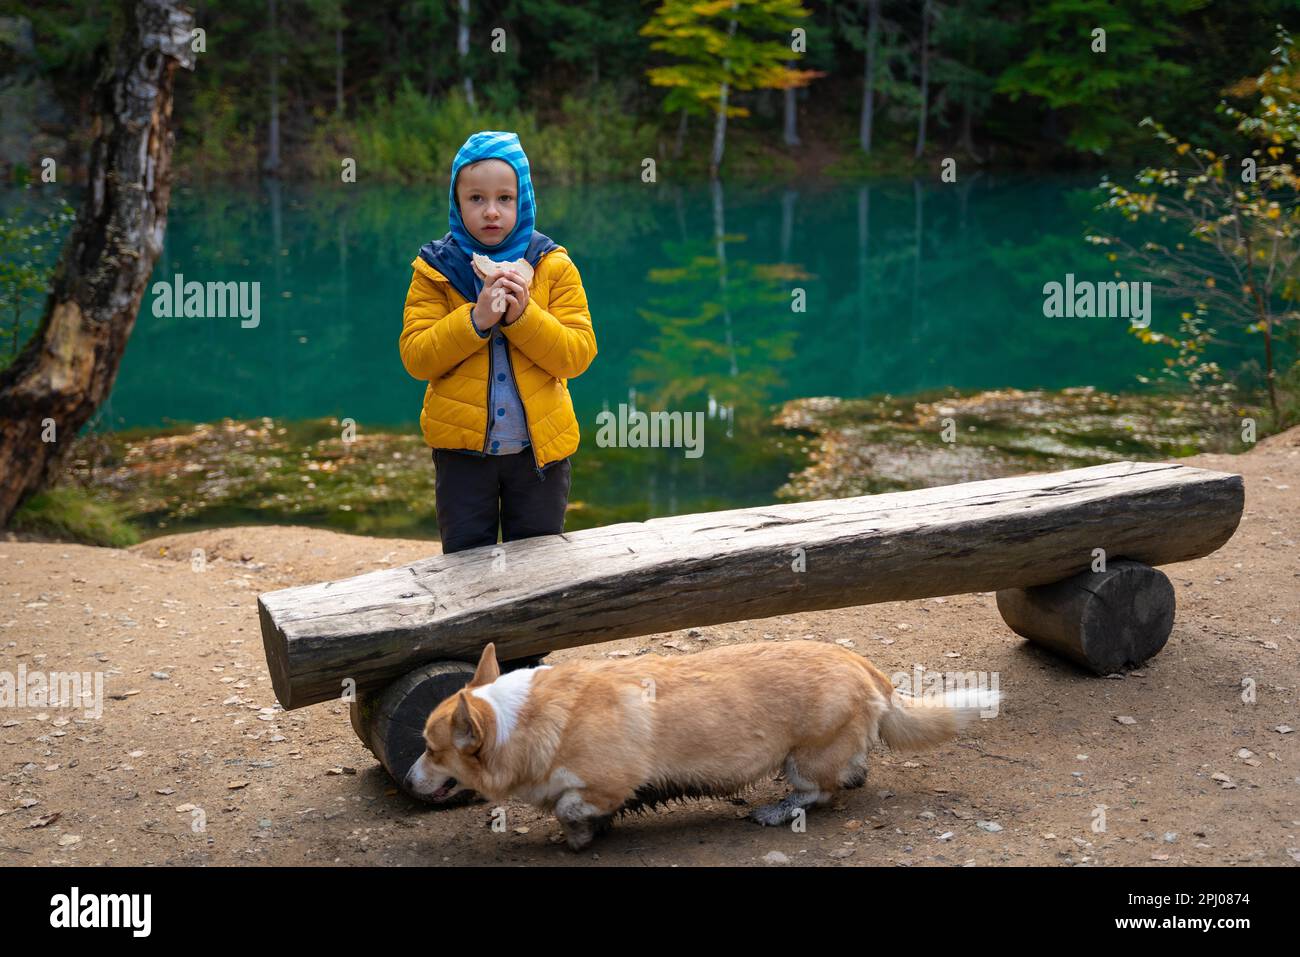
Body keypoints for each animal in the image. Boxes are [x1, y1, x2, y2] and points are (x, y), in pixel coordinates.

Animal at [405, 639, 1003, 847]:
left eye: (432, 750)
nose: (409, 780)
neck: (521, 722)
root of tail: (865, 667)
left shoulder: (605, 782)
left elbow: (572, 806)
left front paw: (578, 835)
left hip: (803, 758)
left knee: (820, 791)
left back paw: (775, 811)